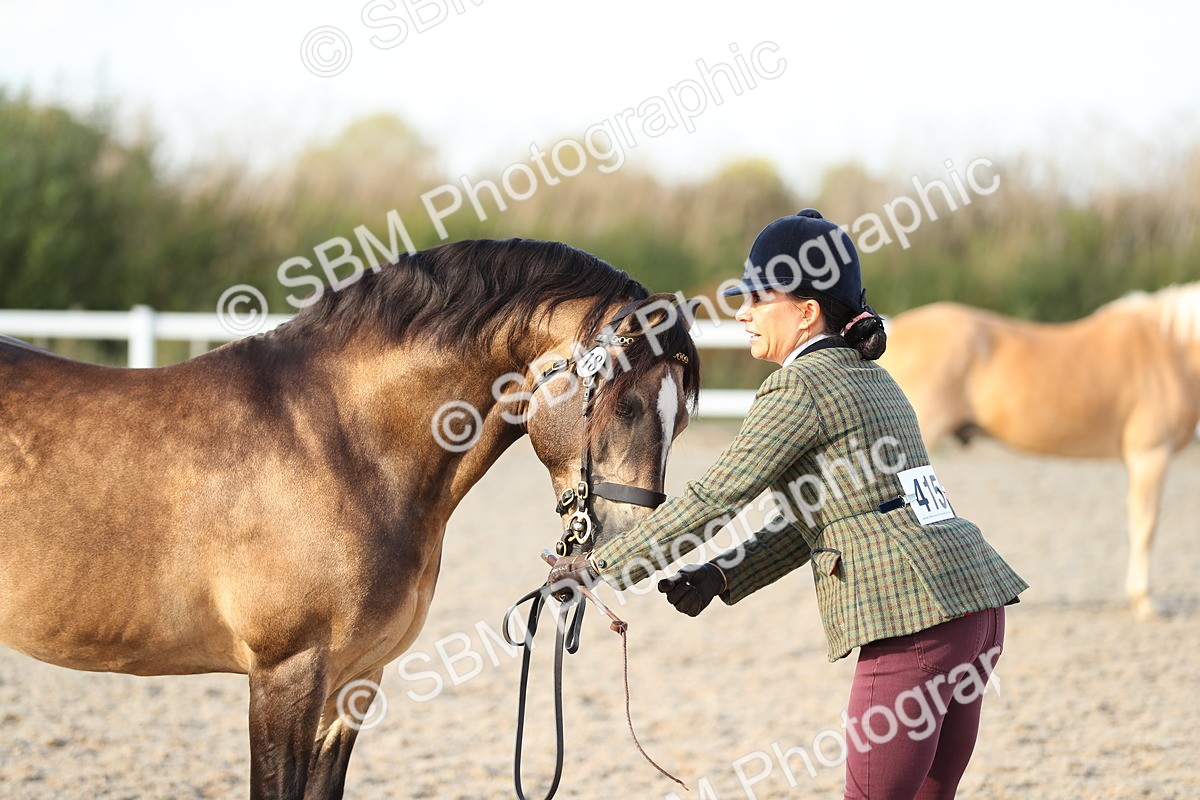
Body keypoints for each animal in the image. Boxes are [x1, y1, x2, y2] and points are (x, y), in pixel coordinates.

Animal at [0, 238, 701, 800]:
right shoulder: (285, 675)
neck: (339, 442)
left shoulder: (354, 681)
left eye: (683, 417)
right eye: (628, 404)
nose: (638, 546)